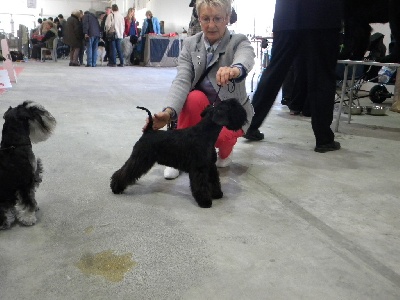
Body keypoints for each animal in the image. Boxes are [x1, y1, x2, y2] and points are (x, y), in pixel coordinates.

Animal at [0, 101, 56, 230]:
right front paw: (29, 219)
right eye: (34, 110)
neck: (15, 145)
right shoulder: (26, 181)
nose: (51, 118)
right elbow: (28, 200)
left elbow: (31, 197)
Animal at [109, 99, 247, 207]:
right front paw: (205, 201)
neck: (205, 134)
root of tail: (148, 131)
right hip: (140, 158)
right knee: (124, 172)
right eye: (231, 107)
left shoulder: (210, 166)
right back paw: (116, 187)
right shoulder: (199, 168)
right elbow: (201, 185)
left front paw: (217, 194)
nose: (244, 114)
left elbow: (214, 181)